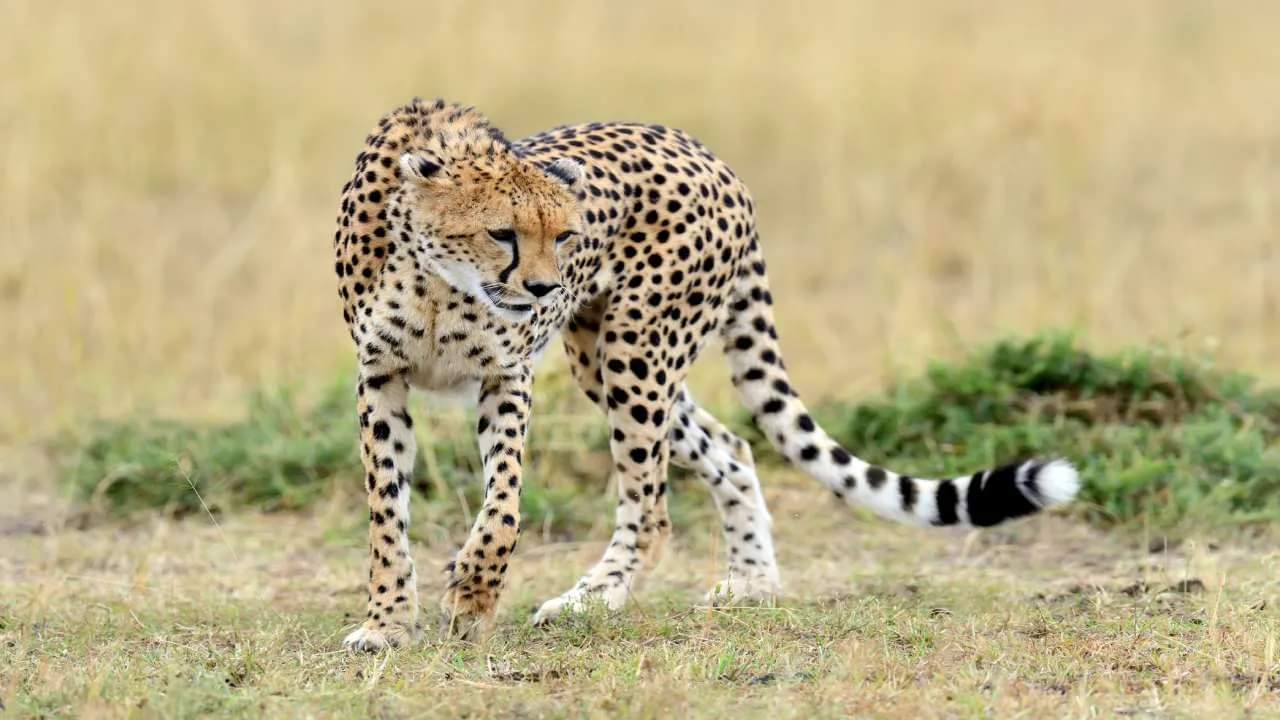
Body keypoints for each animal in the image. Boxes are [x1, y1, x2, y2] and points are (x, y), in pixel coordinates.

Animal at [333, 98, 1080, 651]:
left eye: (565, 235)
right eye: (502, 233)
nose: (544, 288)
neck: (437, 278)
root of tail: (712, 156)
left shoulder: (506, 378)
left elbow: (504, 508)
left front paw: (474, 596)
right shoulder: (381, 379)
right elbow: (386, 516)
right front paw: (387, 623)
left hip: (635, 348)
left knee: (653, 507)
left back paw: (591, 599)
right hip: (605, 357)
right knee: (733, 447)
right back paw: (751, 583)